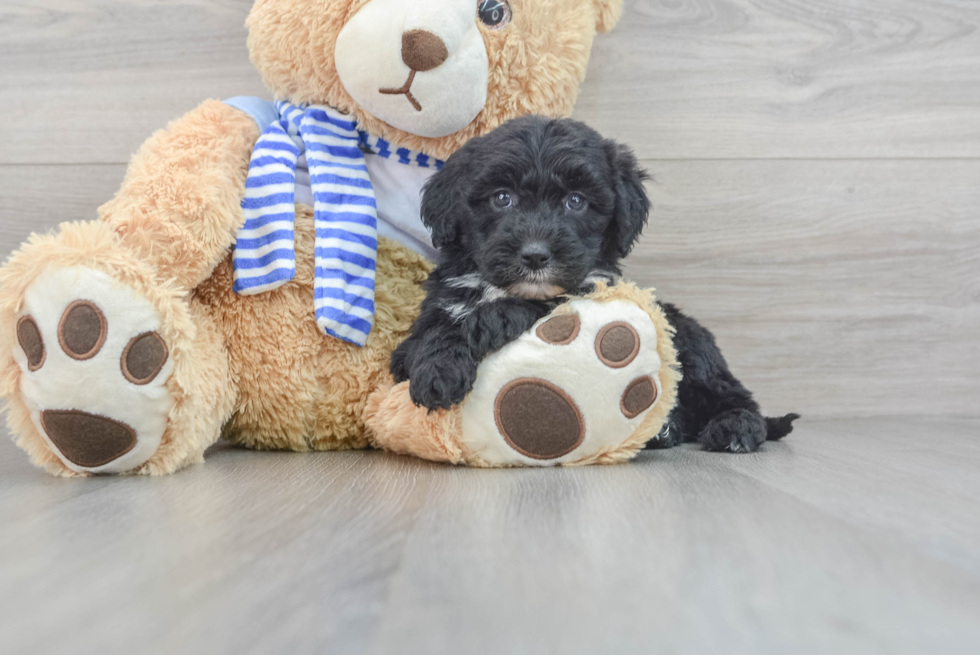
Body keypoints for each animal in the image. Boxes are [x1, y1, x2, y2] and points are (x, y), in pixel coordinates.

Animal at [390, 116, 796, 452]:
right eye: (502, 198)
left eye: (576, 201)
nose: (535, 255)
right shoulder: (434, 311)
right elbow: (425, 341)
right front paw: (438, 371)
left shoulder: (592, 289)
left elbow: (549, 301)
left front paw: (491, 319)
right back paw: (667, 430)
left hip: (692, 349)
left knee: (731, 394)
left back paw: (735, 428)